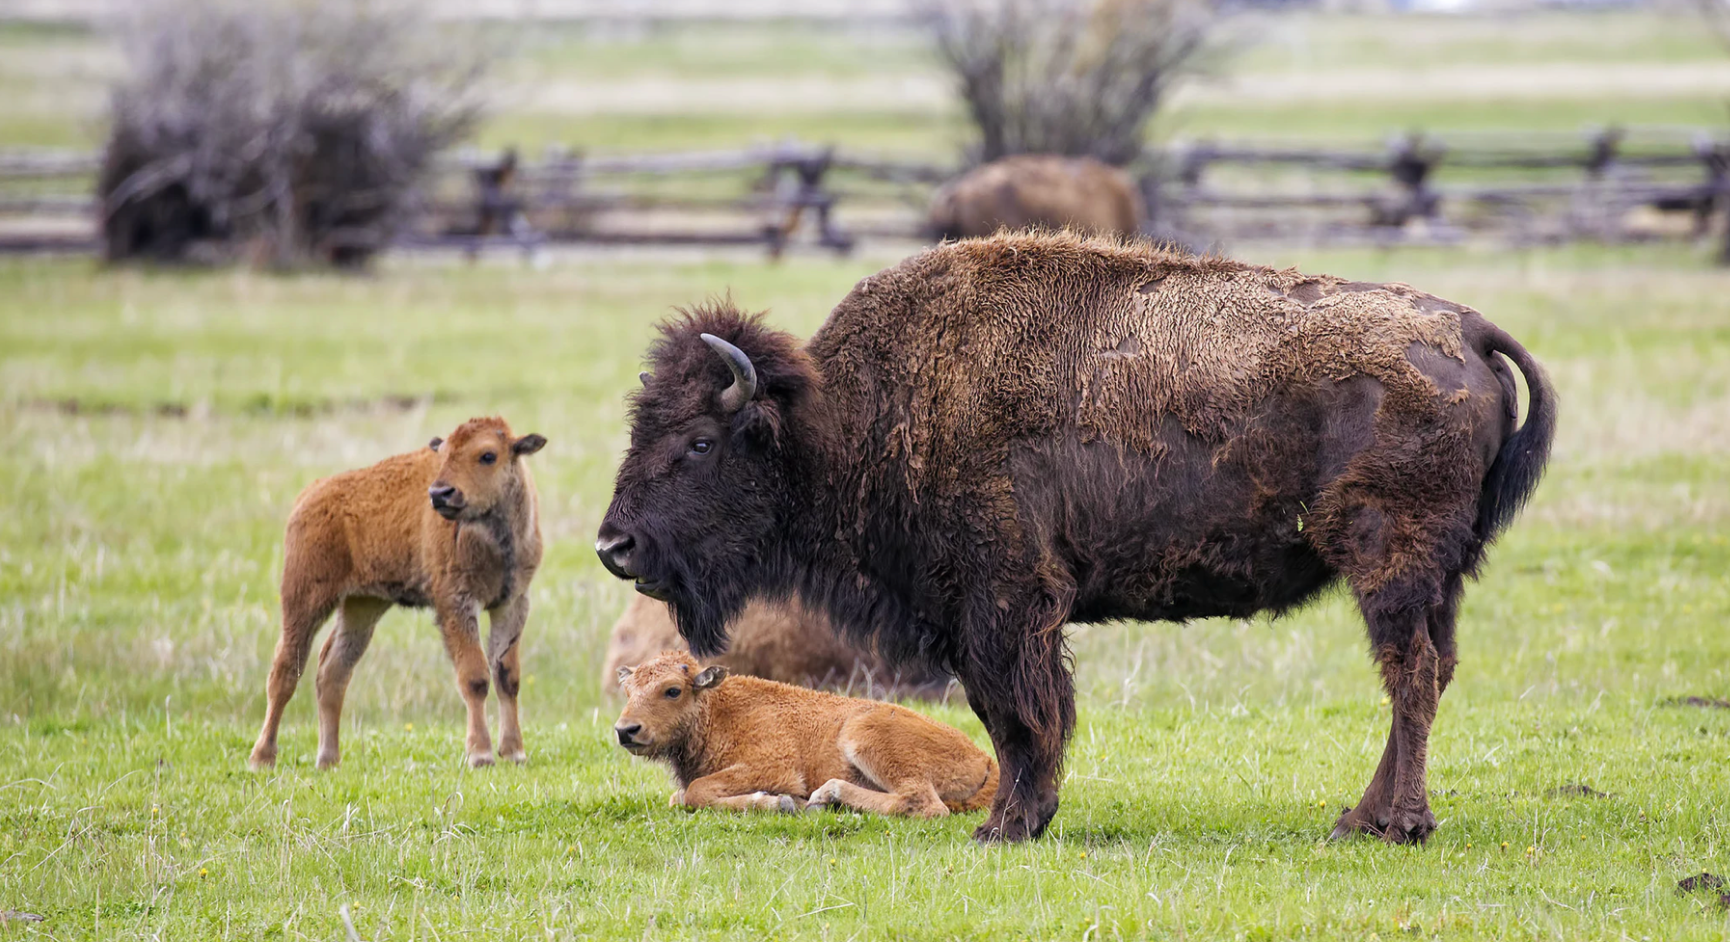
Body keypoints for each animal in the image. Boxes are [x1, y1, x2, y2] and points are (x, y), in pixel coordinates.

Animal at [597, 231, 1555, 844]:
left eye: (699, 441)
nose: (615, 548)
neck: (846, 412)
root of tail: (1465, 327)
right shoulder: (986, 615)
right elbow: (1016, 714)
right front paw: (1023, 817)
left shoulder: (1003, 604)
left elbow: (1020, 712)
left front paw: (1007, 825)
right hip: (1437, 577)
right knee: (1428, 670)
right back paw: (1361, 819)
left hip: (1389, 563)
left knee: (1410, 674)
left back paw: (1396, 824)